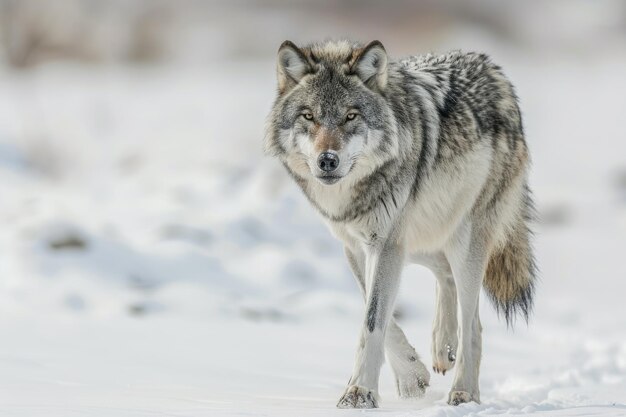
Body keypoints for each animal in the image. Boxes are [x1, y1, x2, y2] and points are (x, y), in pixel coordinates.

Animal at [260, 38, 532, 406]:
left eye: (350, 116)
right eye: (309, 116)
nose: (327, 160)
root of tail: (492, 69)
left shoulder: (386, 243)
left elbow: (373, 320)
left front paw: (359, 392)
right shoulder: (358, 246)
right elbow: (376, 312)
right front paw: (411, 377)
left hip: (463, 239)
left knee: (472, 322)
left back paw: (464, 391)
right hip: (419, 239)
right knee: (445, 275)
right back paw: (442, 347)